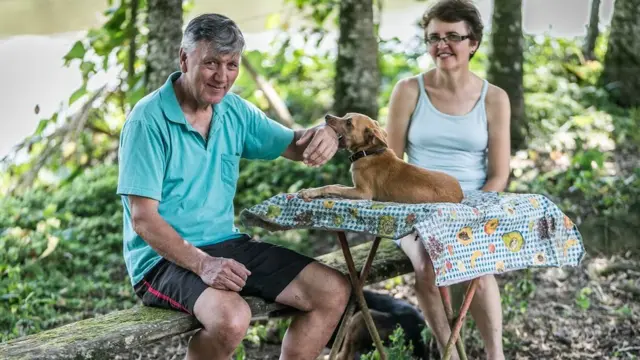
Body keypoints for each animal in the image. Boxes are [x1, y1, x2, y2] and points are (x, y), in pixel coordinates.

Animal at [298, 112, 462, 204]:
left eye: (349, 122)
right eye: (345, 116)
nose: (327, 116)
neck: (367, 153)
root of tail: (461, 193)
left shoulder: (363, 193)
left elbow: (332, 187)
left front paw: (309, 192)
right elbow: (336, 185)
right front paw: (310, 190)